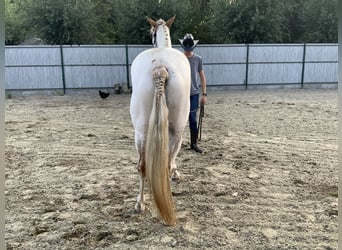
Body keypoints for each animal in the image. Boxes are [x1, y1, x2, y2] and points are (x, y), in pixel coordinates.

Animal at [130, 16, 191, 226]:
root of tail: (160, 68)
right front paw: (176, 174)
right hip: (176, 131)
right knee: (164, 164)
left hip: (141, 131)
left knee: (142, 166)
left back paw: (140, 204)